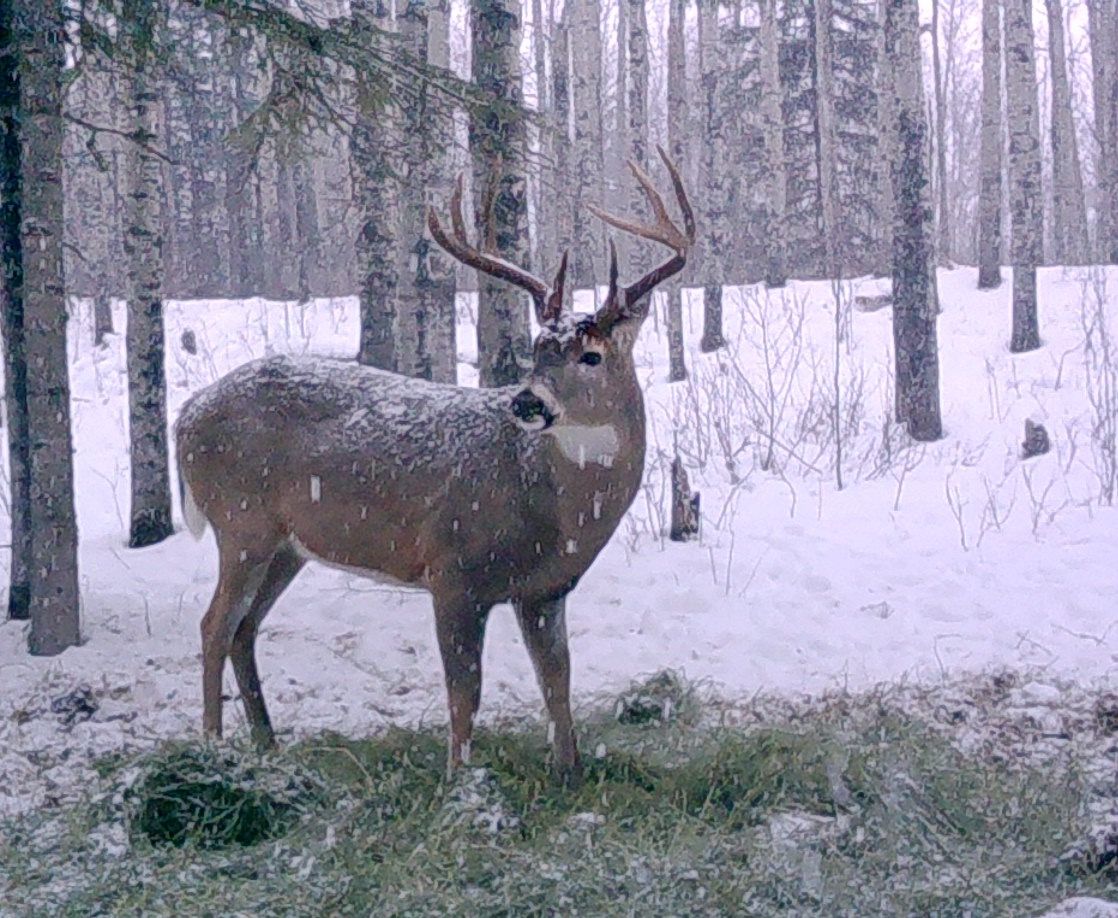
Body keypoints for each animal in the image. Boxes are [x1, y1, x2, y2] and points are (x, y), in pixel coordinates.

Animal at [174, 147, 693, 782]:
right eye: (538, 349)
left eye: (591, 355)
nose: (527, 402)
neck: (554, 513)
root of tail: (187, 414)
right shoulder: (454, 569)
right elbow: (464, 690)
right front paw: (458, 778)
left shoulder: (545, 589)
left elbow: (558, 680)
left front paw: (568, 772)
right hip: (241, 521)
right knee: (214, 625)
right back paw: (212, 749)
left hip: (288, 544)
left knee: (245, 629)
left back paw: (267, 742)